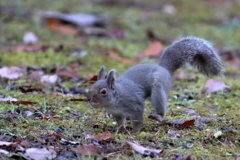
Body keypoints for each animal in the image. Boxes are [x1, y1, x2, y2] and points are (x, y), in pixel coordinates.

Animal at [88, 36, 223, 132]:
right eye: (90, 88)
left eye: (103, 91)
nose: (91, 101)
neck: (117, 97)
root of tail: (164, 69)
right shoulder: (117, 113)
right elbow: (121, 122)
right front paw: (120, 130)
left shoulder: (135, 105)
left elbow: (137, 120)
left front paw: (134, 131)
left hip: (158, 90)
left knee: (161, 108)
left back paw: (158, 116)